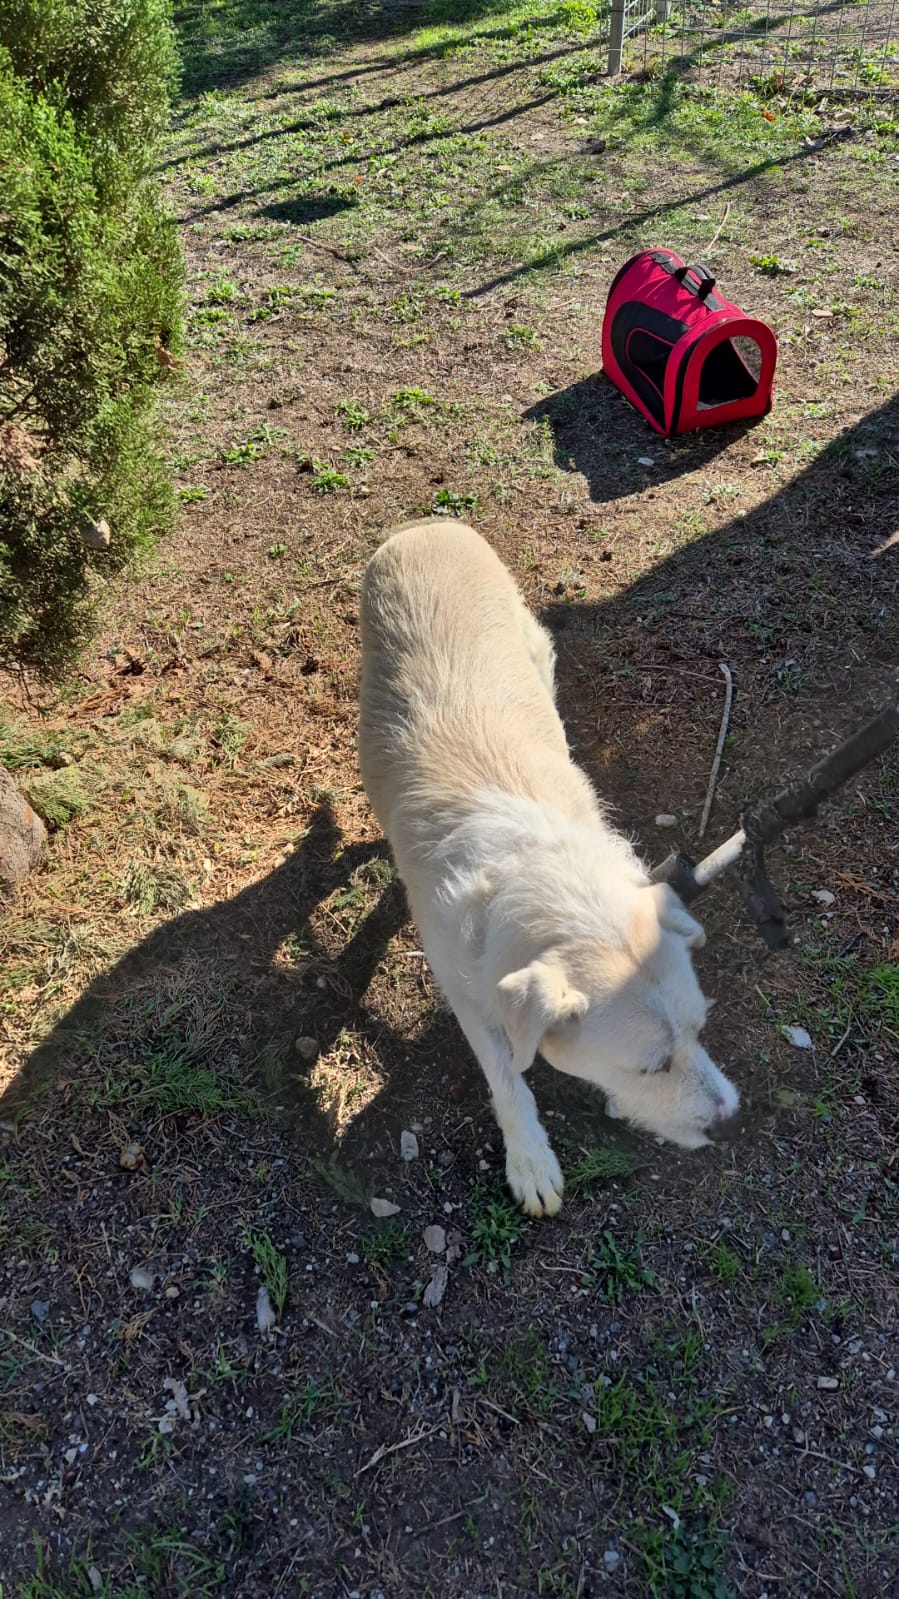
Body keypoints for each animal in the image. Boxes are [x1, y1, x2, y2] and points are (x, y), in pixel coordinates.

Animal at [358, 519, 740, 1216]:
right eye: (651, 1067)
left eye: (702, 1031)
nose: (734, 1124)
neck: (541, 875)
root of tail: (429, 526)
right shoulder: (468, 993)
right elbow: (509, 1078)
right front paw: (530, 1159)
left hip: (536, 655)